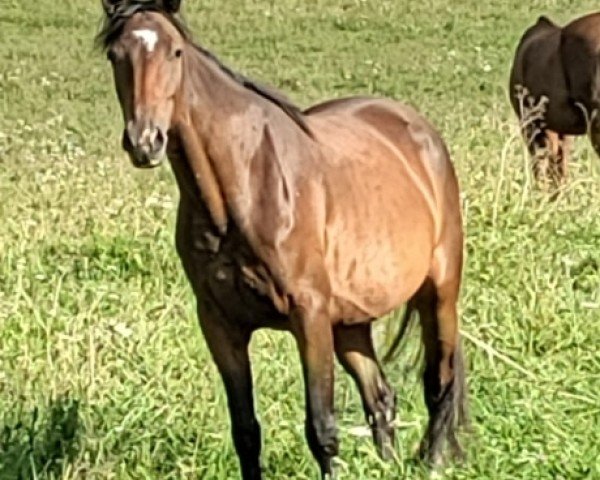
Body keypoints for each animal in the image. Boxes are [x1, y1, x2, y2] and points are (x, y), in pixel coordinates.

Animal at [97, 0, 468, 476]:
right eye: (115, 55)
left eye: (175, 52)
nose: (145, 142)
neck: (244, 186)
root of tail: (419, 130)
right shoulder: (220, 325)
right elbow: (245, 432)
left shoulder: (308, 315)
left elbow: (322, 430)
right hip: (349, 322)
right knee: (380, 398)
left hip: (438, 293)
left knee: (439, 384)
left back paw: (433, 462)